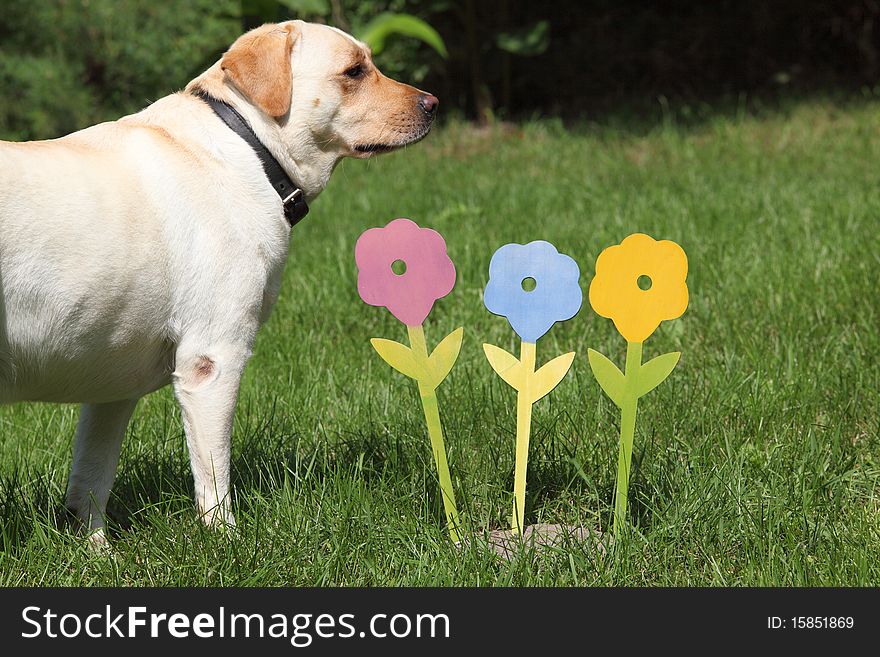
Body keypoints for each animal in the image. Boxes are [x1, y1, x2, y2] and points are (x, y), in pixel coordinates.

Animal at [0, 20, 438, 544]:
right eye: (354, 71)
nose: (434, 103)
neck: (249, 149)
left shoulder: (110, 383)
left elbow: (90, 479)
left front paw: (96, 549)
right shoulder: (212, 360)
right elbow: (213, 478)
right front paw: (227, 541)